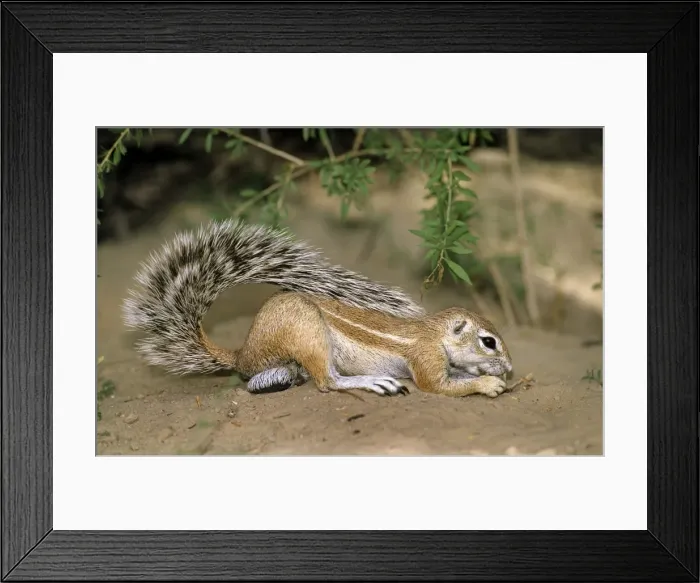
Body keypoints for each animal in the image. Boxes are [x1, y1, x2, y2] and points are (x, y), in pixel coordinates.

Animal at [122, 219, 513, 398]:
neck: (434, 332)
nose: (510, 368)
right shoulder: (426, 359)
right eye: (488, 341)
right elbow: (439, 385)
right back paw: (373, 382)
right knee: (328, 382)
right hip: (307, 329)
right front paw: (489, 384)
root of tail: (244, 351)